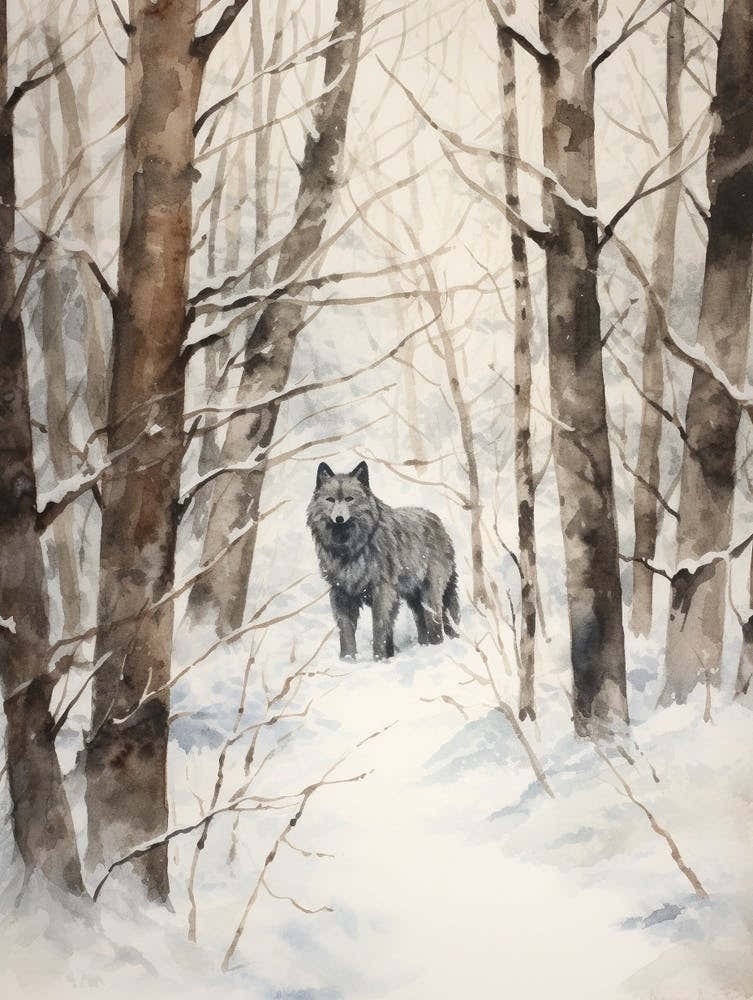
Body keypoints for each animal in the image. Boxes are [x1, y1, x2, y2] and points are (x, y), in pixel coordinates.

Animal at [307, 460, 459, 659]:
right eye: (331, 500)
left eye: (349, 499)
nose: (339, 518)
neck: (350, 549)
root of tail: (437, 521)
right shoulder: (341, 594)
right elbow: (346, 632)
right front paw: (348, 660)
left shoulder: (383, 592)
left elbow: (379, 629)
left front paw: (380, 659)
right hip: (412, 598)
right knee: (423, 623)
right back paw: (424, 646)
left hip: (429, 594)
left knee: (435, 621)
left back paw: (435, 647)